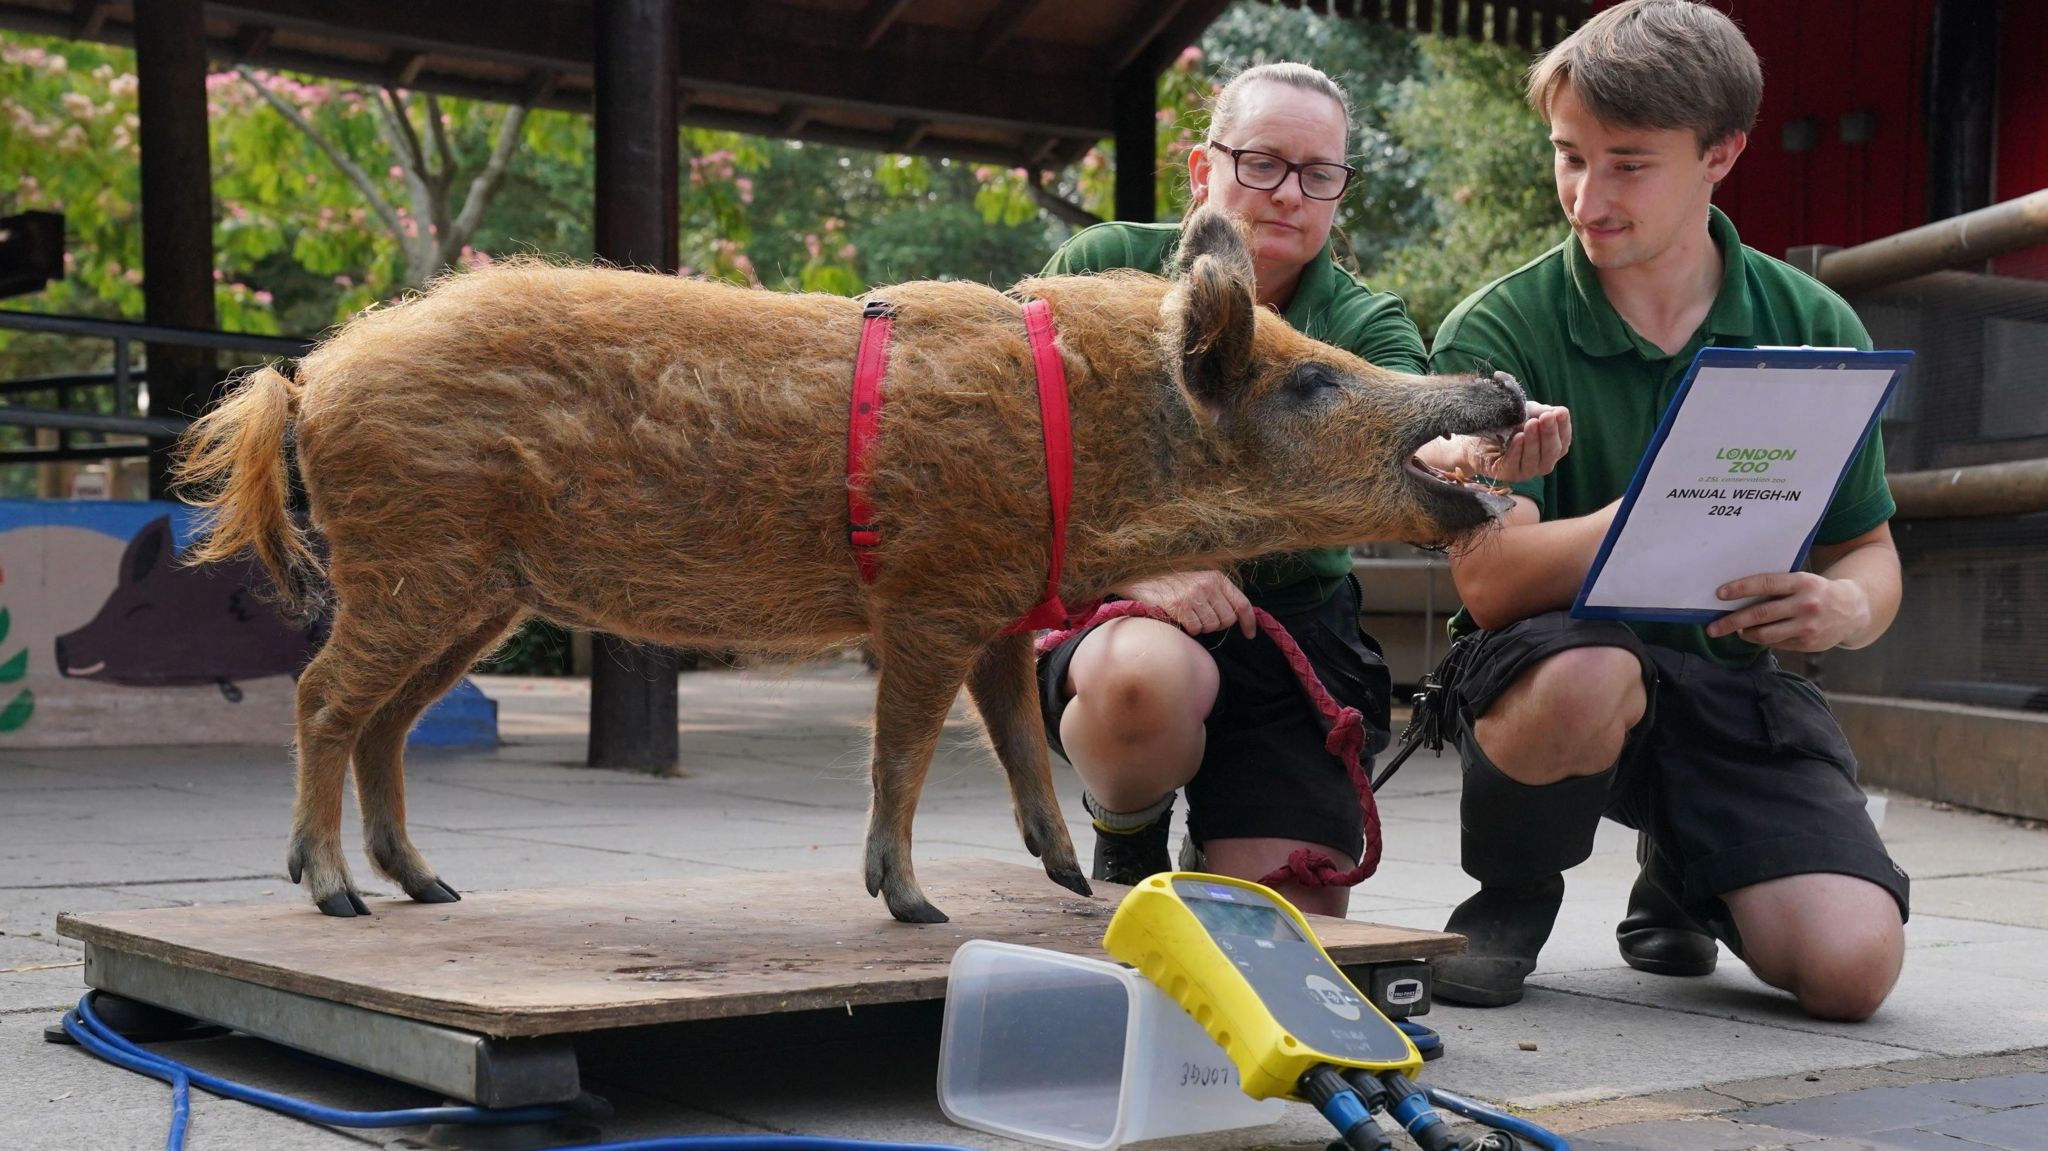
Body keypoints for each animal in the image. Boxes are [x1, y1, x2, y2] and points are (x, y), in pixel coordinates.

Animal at [176, 205, 1523, 921]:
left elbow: (1020, 741)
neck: (1086, 446)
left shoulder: (994, 610)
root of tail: (309, 376)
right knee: (323, 697)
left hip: (475, 594)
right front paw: (916, 905)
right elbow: (907, 749)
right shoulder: (926, 597)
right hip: (417, 559)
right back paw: (334, 893)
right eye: (1305, 382)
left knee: (387, 721)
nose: (1502, 385)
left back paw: (432, 890)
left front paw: (1067, 882)